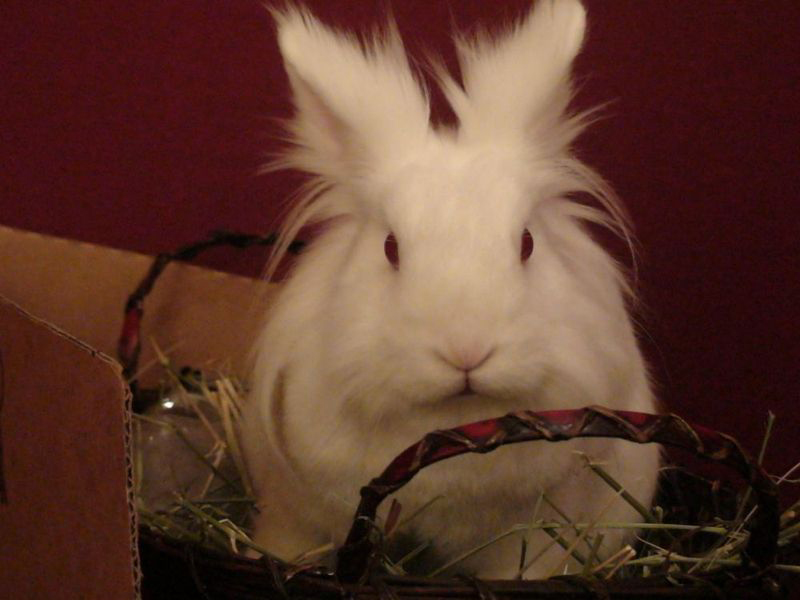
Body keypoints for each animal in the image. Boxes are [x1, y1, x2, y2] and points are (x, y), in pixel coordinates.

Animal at [241, 0, 661, 579]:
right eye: (391, 248)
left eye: (527, 242)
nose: (467, 352)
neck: (453, 422)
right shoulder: (300, 513)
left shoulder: (533, 536)